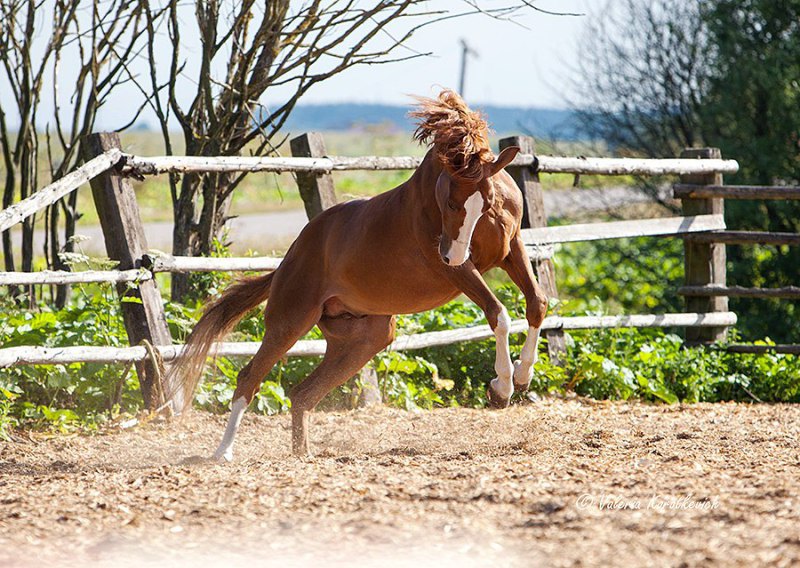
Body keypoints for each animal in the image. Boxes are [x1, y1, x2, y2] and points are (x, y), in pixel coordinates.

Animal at [170, 90, 552, 462]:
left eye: (484, 201)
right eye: (448, 202)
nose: (452, 254)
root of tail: (287, 262)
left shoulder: (511, 248)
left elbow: (537, 303)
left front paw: (523, 376)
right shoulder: (456, 271)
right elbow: (499, 314)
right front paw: (501, 389)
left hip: (365, 338)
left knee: (302, 393)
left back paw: (303, 454)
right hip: (290, 320)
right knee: (251, 376)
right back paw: (223, 452)